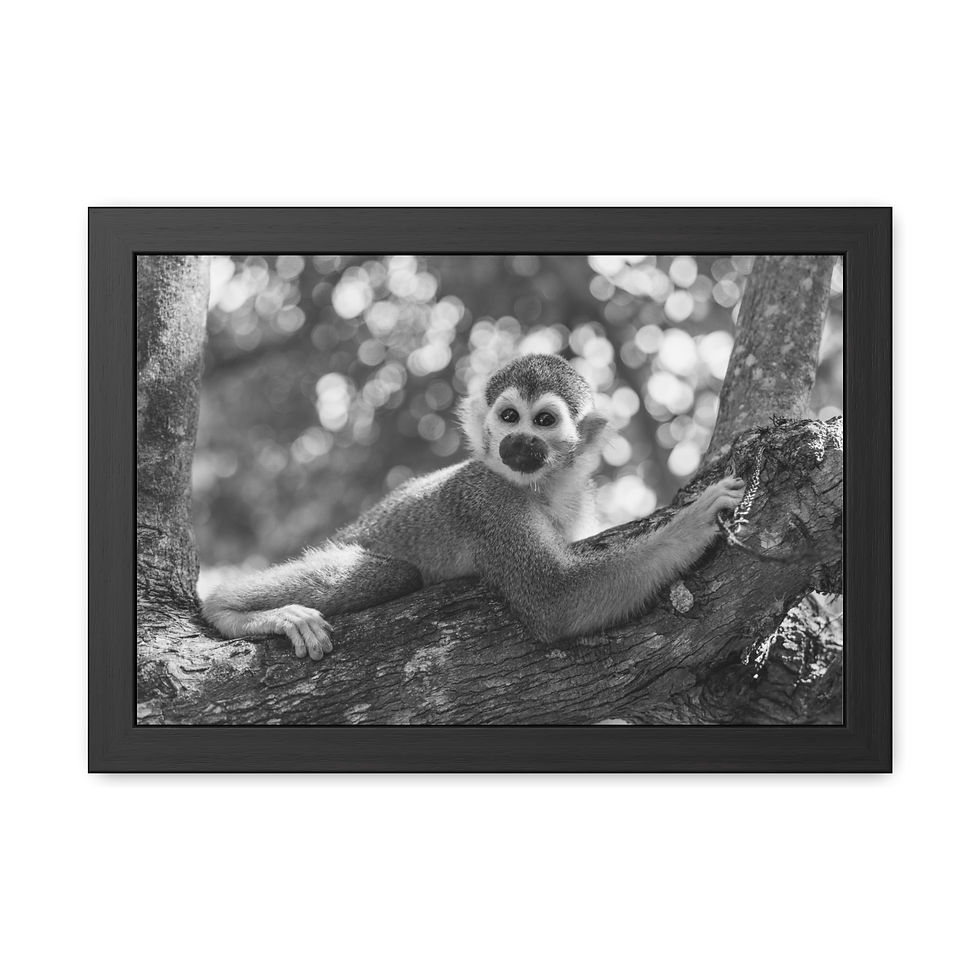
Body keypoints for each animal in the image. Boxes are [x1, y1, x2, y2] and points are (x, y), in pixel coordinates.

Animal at [201, 353, 744, 659]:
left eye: (543, 421)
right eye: (508, 417)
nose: (519, 442)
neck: (537, 486)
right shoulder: (485, 502)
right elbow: (555, 599)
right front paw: (692, 525)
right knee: (395, 574)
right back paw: (229, 609)